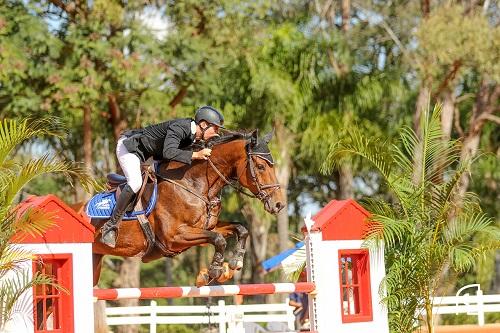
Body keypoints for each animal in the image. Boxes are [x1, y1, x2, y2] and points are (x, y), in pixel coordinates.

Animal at [91, 130, 286, 286]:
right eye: (260, 166)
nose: (279, 204)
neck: (193, 183)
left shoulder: (206, 228)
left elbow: (240, 229)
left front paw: (235, 262)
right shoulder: (174, 237)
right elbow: (219, 240)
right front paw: (214, 272)